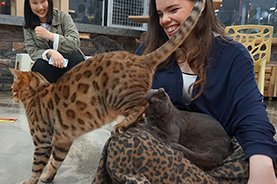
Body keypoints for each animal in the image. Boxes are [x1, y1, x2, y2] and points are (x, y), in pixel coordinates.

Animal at [9, 0, 205, 183]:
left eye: (12, 88)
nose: (12, 97)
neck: (38, 91)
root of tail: (140, 58)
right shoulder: (62, 140)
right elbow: (55, 162)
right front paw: (48, 176)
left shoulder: (43, 141)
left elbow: (37, 167)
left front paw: (30, 181)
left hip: (117, 96)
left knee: (142, 105)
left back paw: (123, 124)